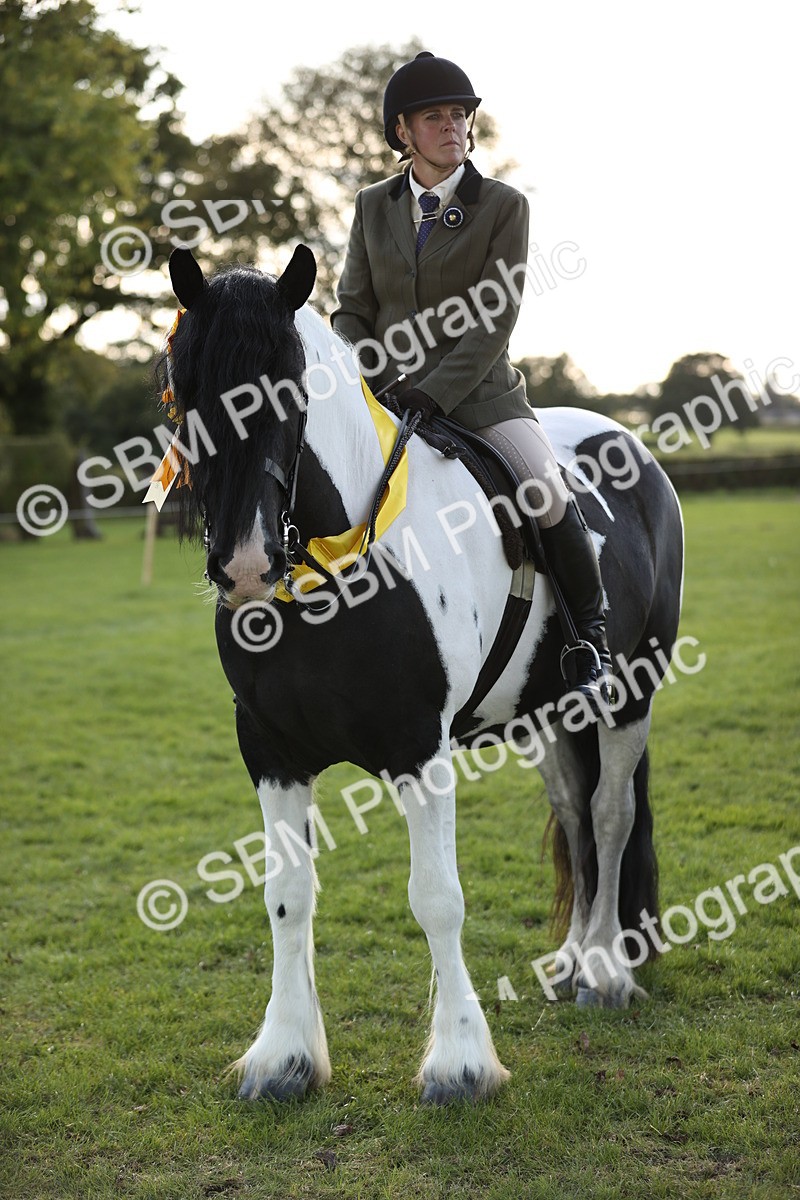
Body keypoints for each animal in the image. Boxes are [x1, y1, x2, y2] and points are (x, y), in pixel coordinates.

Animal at [153, 243, 684, 1104]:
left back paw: (605, 972)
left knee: (609, 815)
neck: (336, 574)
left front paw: (461, 1063)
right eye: (184, 387)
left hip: (628, 693)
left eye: (290, 389)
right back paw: (573, 961)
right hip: (548, 713)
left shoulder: (418, 751)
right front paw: (283, 1057)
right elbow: (285, 897)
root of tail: (625, 442)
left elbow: (437, 899)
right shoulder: (269, 751)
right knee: (575, 816)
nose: (246, 565)